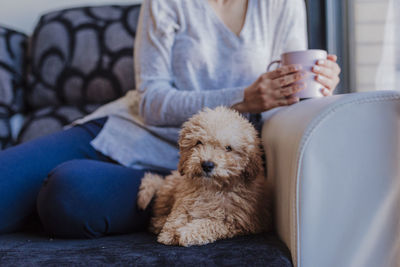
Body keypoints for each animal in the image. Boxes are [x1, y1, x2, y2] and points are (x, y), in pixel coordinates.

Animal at [138, 106, 272, 247]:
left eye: (228, 148)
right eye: (199, 142)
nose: (207, 165)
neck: (213, 188)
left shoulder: (235, 221)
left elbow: (210, 223)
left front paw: (186, 233)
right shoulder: (184, 199)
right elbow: (178, 214)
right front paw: (169, 233)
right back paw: (159, 222)